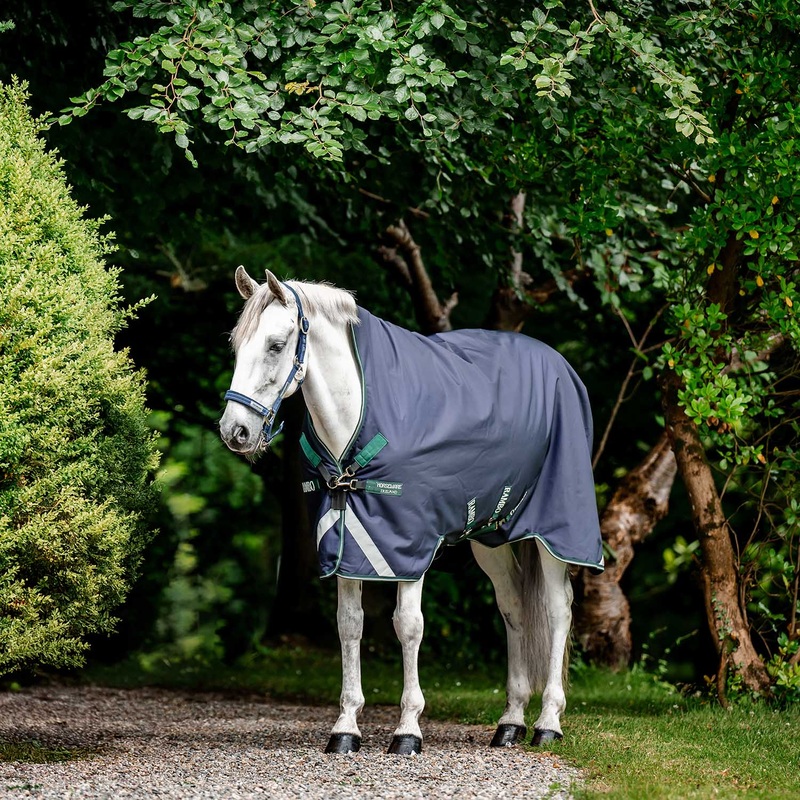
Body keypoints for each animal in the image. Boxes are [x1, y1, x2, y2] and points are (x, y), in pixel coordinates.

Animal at [219, 267, 604, 755]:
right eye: (237, 345)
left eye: (274, 344)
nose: (235, 431)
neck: (358, 415)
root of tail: (560, 365)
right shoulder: (347, 542)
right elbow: (349, 625)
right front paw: (345, 728)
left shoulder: (409, 545)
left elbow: (408, 625)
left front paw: (407, 729)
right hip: (490, 536)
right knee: (514, 606)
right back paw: (511, 722)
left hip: (554, 531)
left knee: (558, 609)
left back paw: (548, 722)